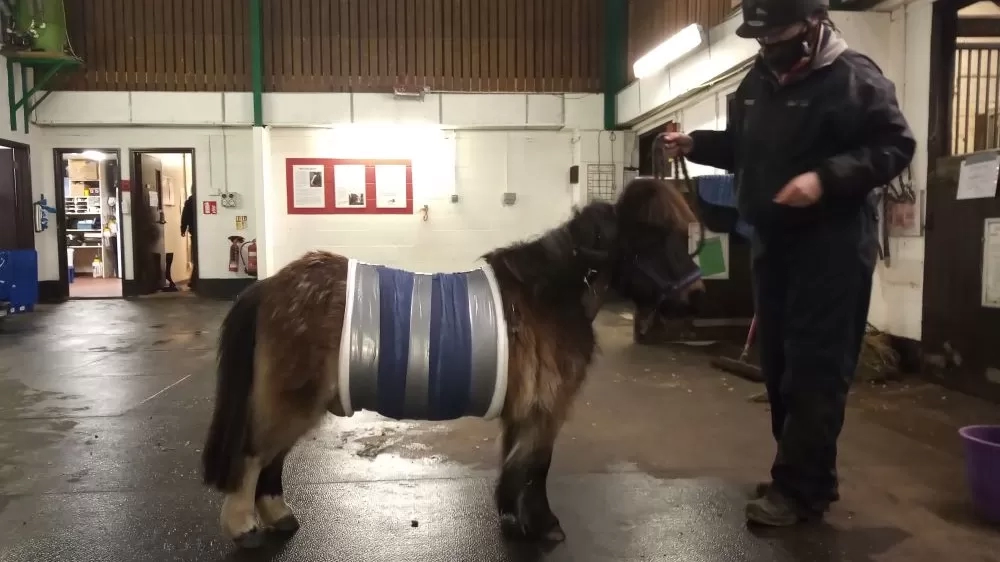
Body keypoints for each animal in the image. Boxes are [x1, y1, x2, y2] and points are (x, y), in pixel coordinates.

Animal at [200, 177, 706, 549]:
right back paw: (243, 525)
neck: (551, 294)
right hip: (293, 397)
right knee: (254, 452)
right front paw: (544, 525)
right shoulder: (546, 409)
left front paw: (513, 517)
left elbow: (516, 465)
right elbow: (537, 468)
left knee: (271, 458)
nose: (696, 297)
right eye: (653, 237)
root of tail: (269, 285)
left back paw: (278, 515)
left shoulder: (524, 411)